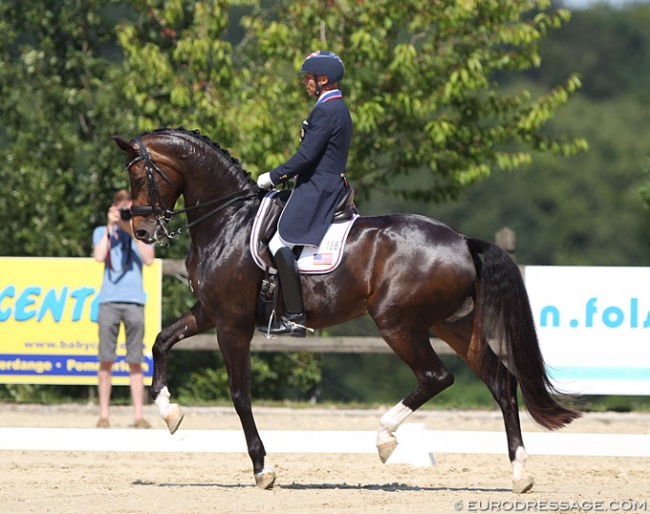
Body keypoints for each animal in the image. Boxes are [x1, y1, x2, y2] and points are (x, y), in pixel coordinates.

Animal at [111, 125, 576, 492]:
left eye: (136, 174)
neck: (228, 222)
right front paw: (170, 412)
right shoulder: (211, 312)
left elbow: (240, 395)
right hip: (454, 325)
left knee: (436, 376)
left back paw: (386, 438)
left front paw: (263, 469)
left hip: (397, 324)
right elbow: (161, 341)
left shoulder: (232, 323)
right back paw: (520, 474)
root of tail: (462, 241)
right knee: (501, 383)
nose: (142, 230)